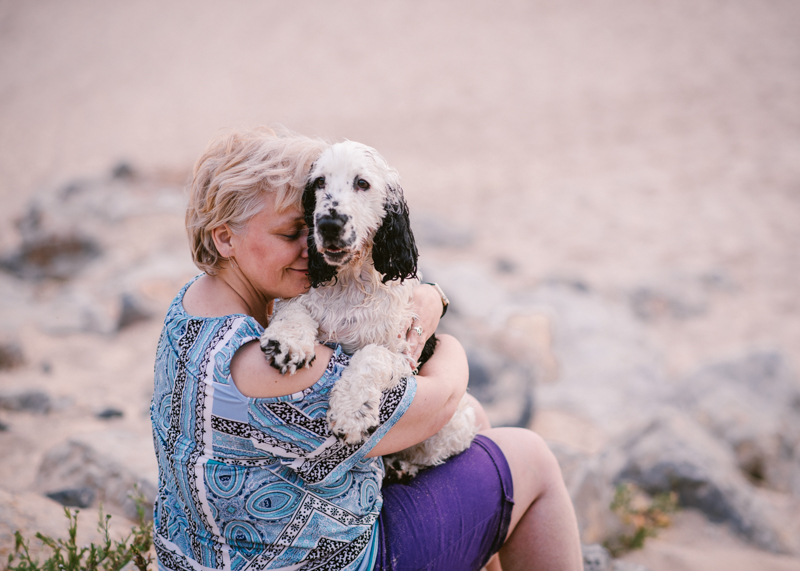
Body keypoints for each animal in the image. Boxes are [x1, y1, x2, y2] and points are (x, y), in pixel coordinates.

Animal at [260, 141, 476, 480]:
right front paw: (288, 344)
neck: (350, 280)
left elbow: (371, 356)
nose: (329, 225)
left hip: (456, 420)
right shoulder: (299, 299)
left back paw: (402, 467)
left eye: (362, 183)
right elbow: (294, 312)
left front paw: (351, 413)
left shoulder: (403, 355)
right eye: (319, 182)